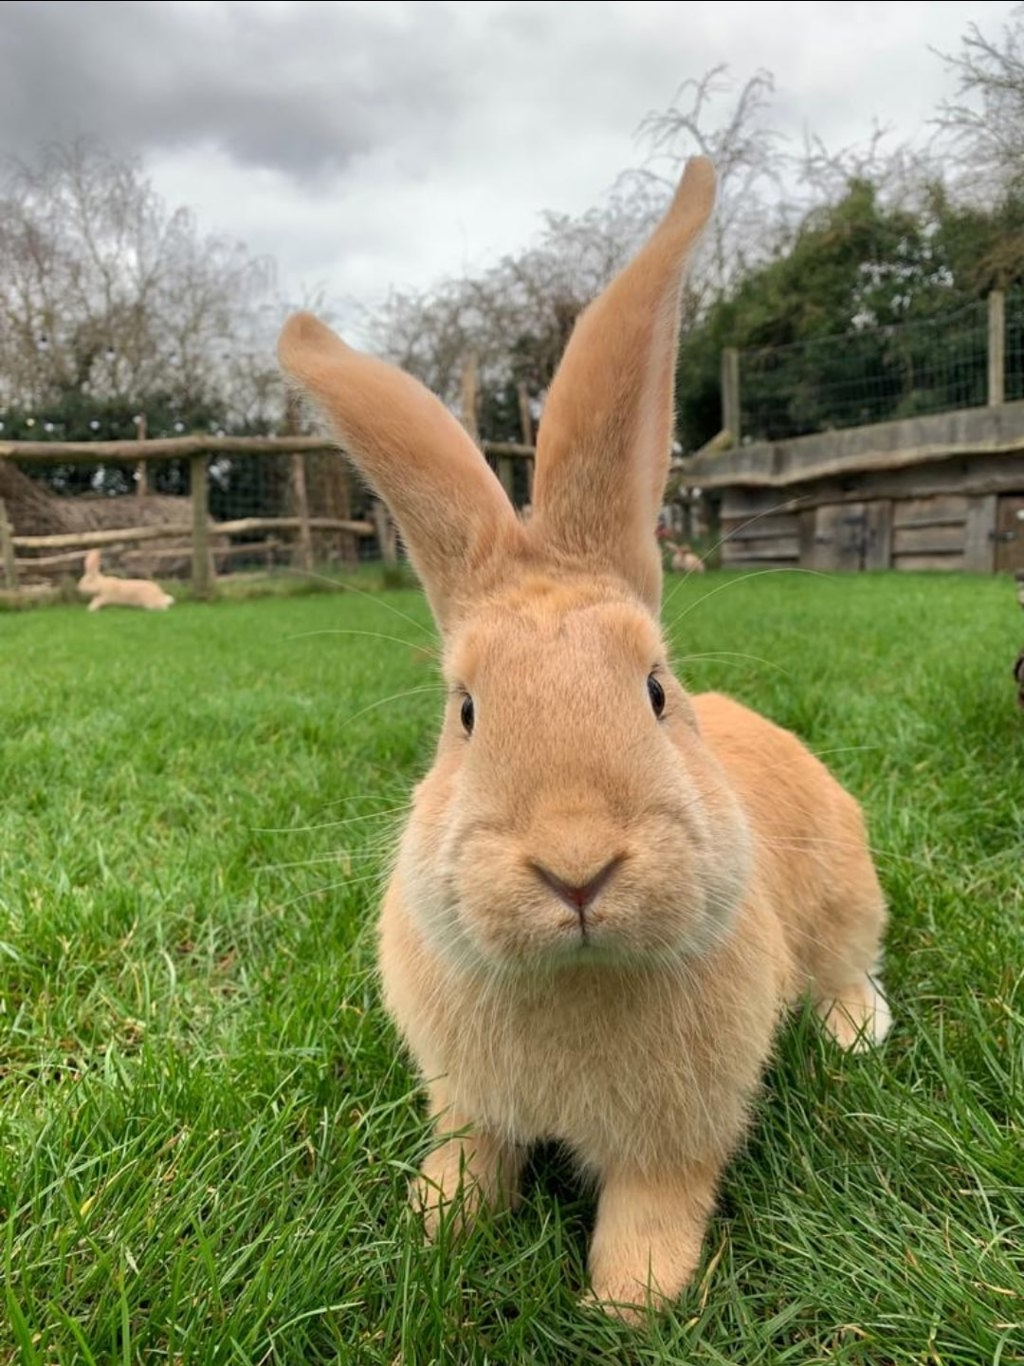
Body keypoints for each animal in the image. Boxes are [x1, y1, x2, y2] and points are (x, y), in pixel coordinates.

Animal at [278, 156, 890, 1321]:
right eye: (465, 712)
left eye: (654, 689)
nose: (576, 867)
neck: (577, 976)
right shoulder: (468, 1102)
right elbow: (472, 1165)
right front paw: (432, 1228)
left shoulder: (676, 1137)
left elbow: (651, 1211)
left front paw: (628, 1303)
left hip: (843, 899)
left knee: (848, 967)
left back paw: (856, 1033)